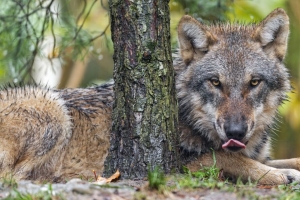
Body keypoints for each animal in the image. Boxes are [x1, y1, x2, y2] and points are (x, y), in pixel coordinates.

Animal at [0, 8, 298, 184]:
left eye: (254, 82)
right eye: (215, 83)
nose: (235, 131)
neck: (185, 114)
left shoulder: (258, 154)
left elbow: (281, 158)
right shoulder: (185, 163)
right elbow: (232, 159)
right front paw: (282, 175)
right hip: (53, 108)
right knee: (15, 177)